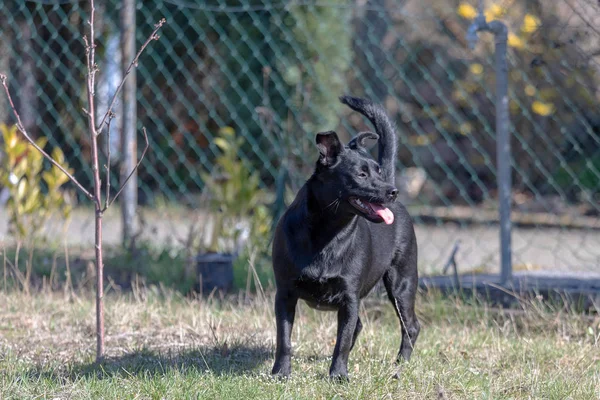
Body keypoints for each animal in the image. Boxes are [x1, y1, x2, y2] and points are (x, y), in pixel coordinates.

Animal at [270, 95, 420, 380]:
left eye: (378, 172)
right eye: (361, 174)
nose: (392, 191)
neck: (328, 235)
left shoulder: (349, 298)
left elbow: (342, 340)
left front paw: (338, 375)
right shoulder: (284, 293)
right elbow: (284, 338)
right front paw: (280, 373)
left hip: (402, 284)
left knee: (410, 326)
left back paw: (401, 365)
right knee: (361, 327)